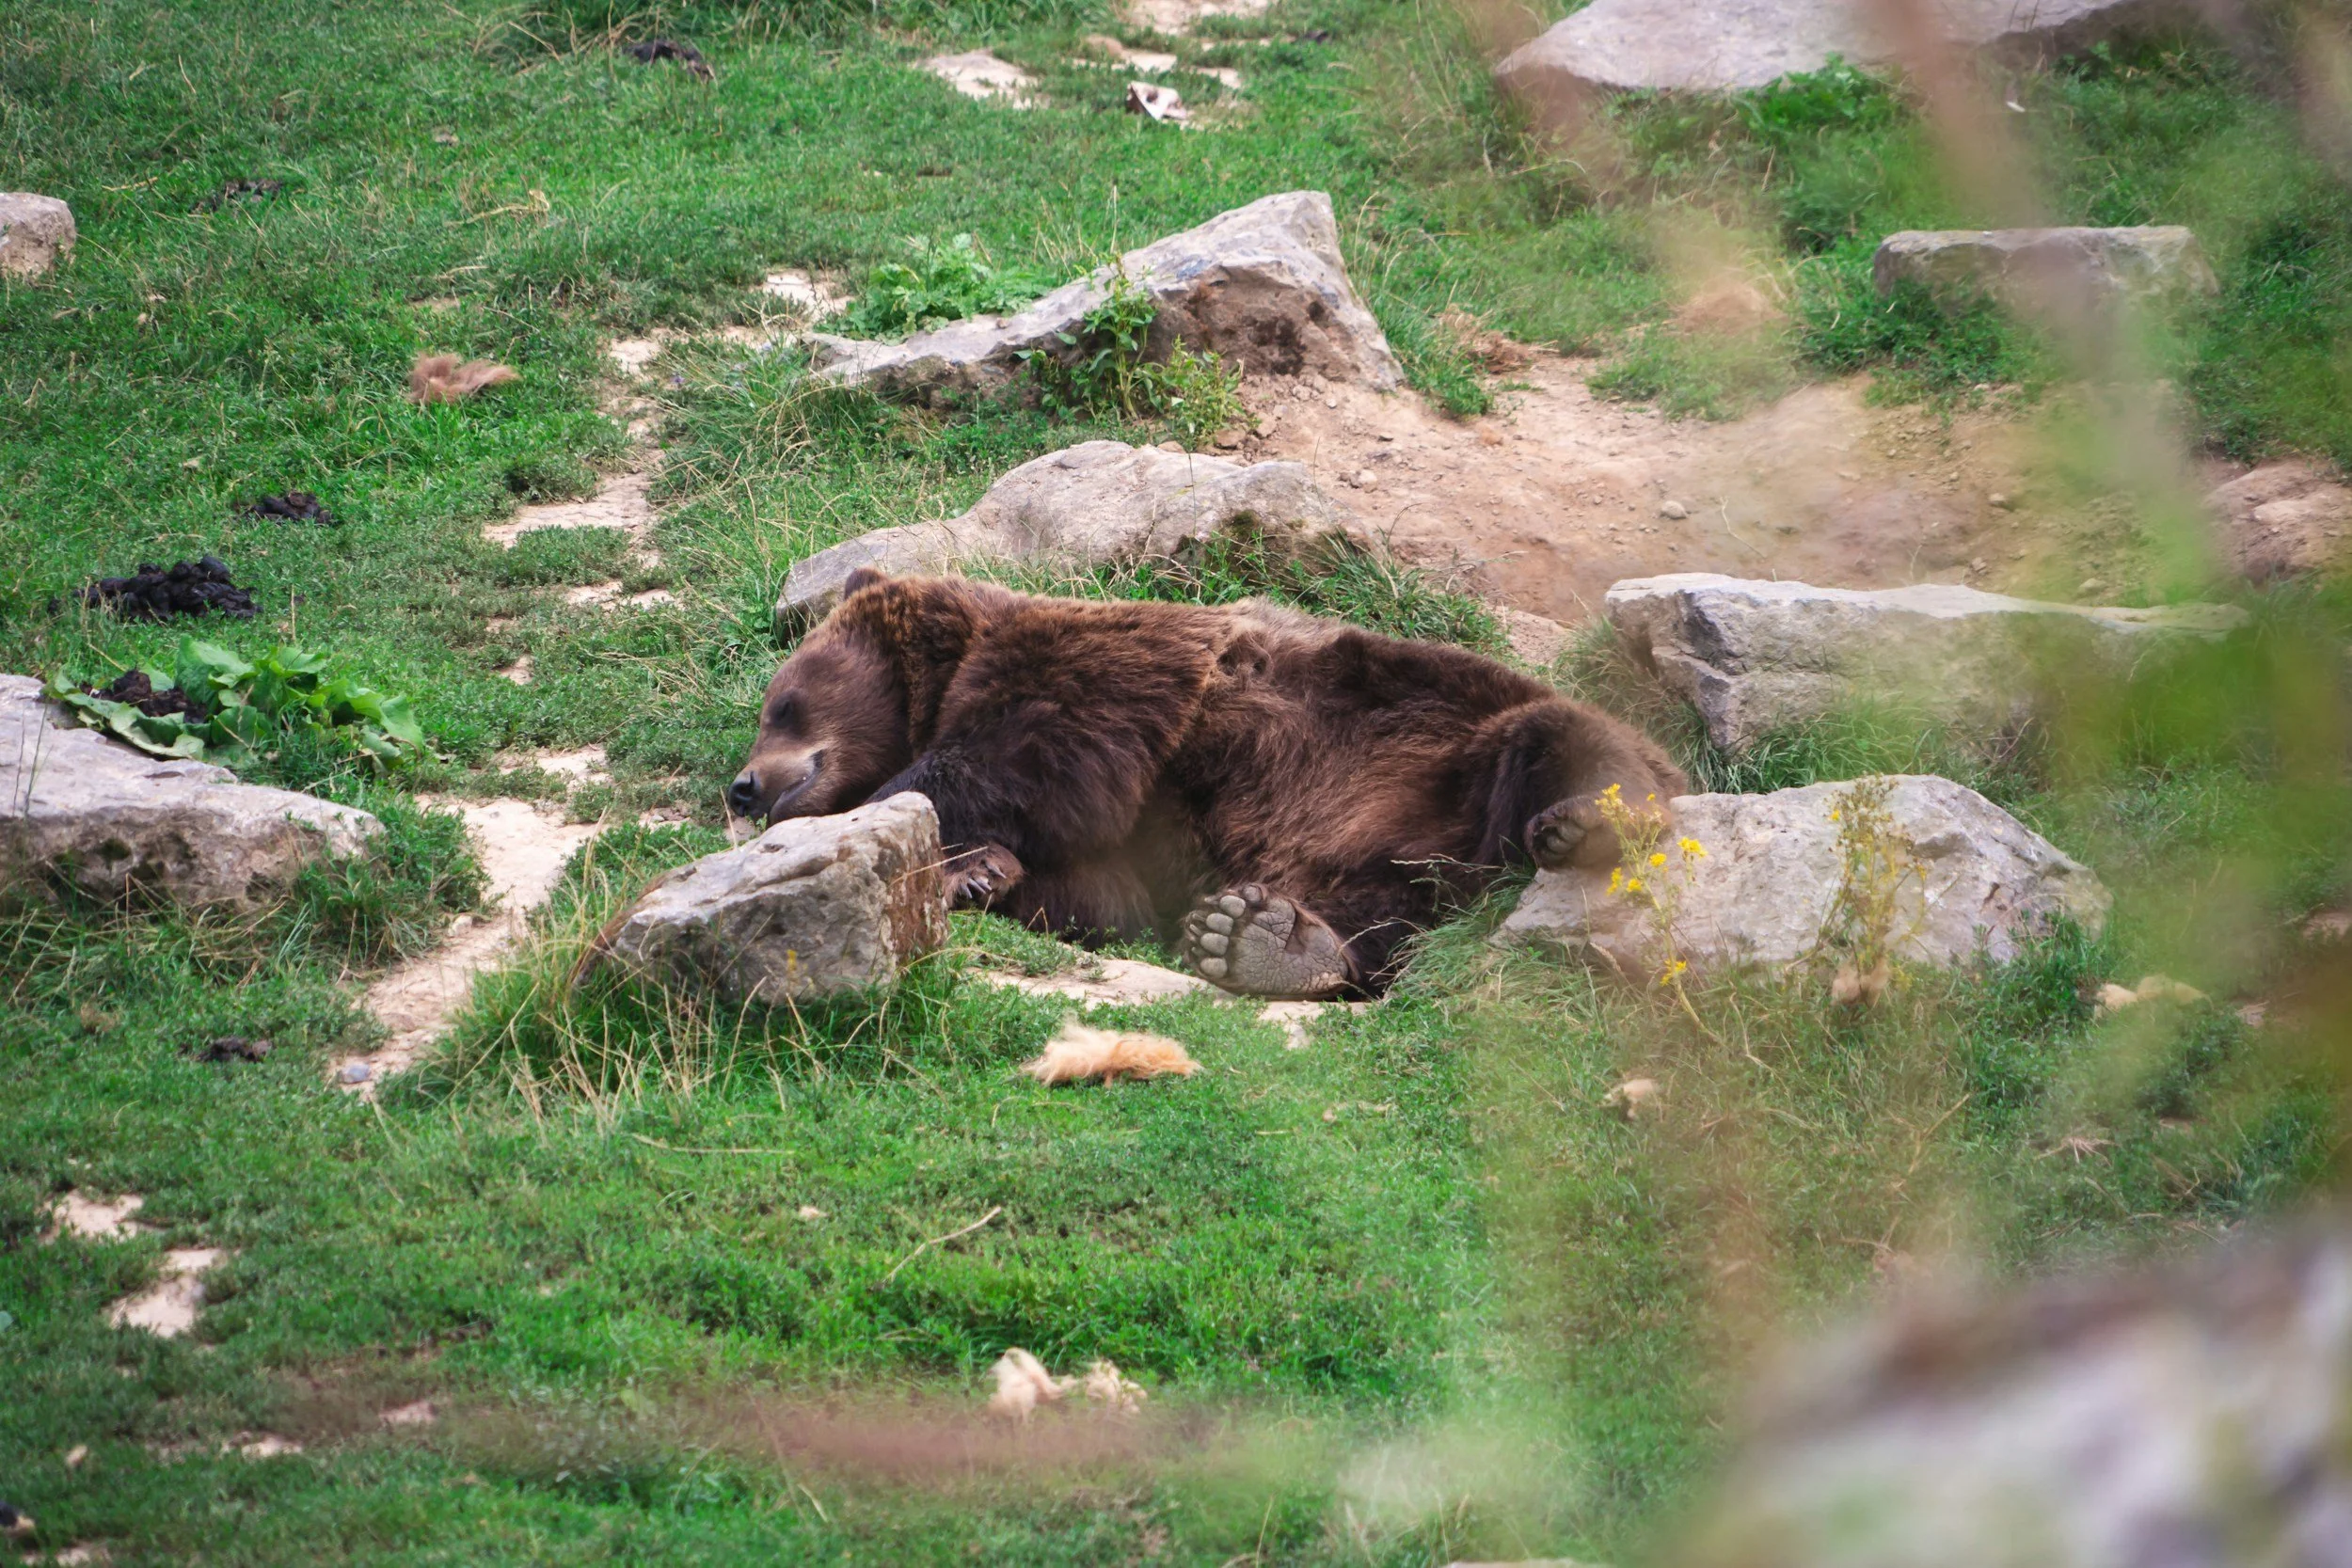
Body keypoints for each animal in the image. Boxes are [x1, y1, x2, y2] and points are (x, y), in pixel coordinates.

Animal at [729, 570, 1687, 999]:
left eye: (782, 701)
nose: (743, 786)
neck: (951, 669)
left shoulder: (1100, 670)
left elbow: (1023, 756)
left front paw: (913, 826)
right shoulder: (1137, 842)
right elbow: (1101, 893)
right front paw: (978, 871)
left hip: (1450, 740)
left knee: (1562, 736)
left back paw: (1589, 821)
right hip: (1367, 854)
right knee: (1372, 921)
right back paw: (1265, 939)